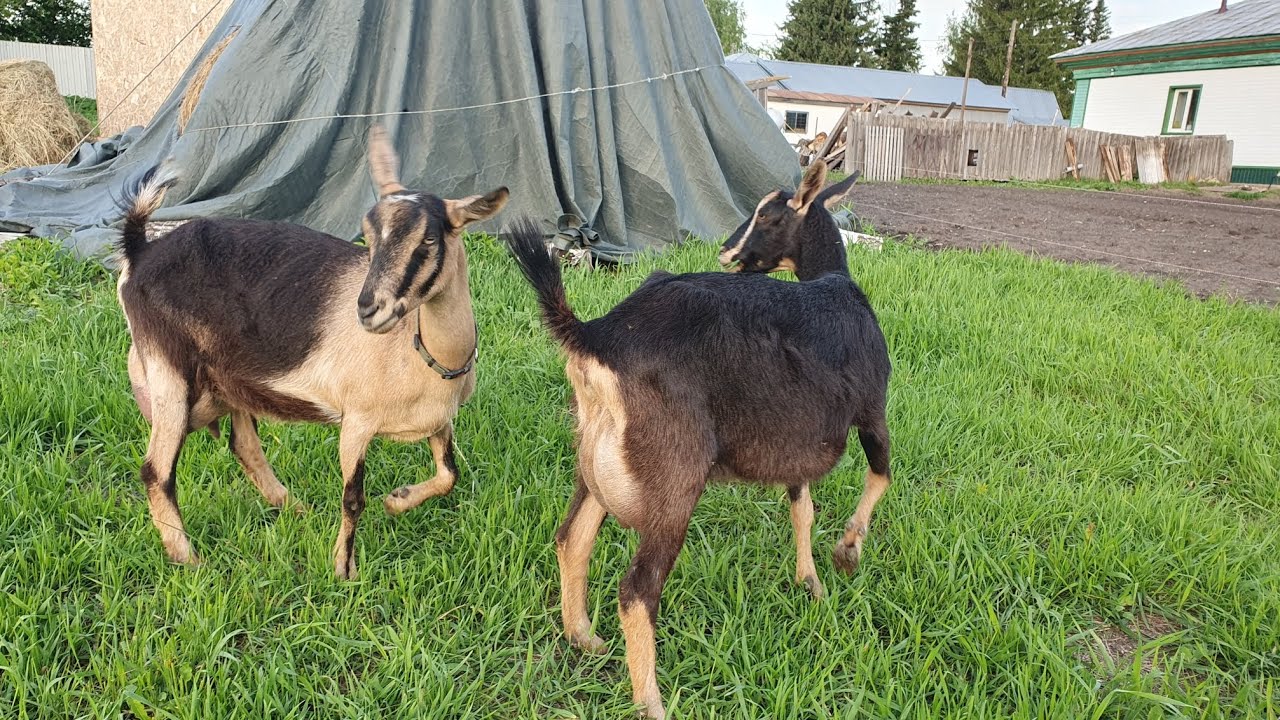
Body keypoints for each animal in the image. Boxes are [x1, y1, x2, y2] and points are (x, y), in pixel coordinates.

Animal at [114, 126, 508, 578]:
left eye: (428, 238)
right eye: (368, 237)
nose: (368, 308)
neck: (423, 351)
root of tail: (139, 252)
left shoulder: (439, 421)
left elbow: (449, 475)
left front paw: (398, 500)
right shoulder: (356, 422)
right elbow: (353, 498)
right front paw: (344, 569)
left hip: (231, 381)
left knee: (244, 445)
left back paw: (294, 508)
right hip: (169, 373)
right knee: (156, 470)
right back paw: (188, 558)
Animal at [505, 160, 890, 719]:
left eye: (768, 216)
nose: (728, 252)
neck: (835, 282)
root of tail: (597, 334)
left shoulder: (793, 444)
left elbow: (801, 508)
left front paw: (810, 581)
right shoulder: (873, 408)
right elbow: (880, 473)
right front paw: (847, 551)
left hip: (595, 460)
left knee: (571, 538)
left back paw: (583, 637)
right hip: (673, 478)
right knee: (637, 589)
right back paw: (651, 702)